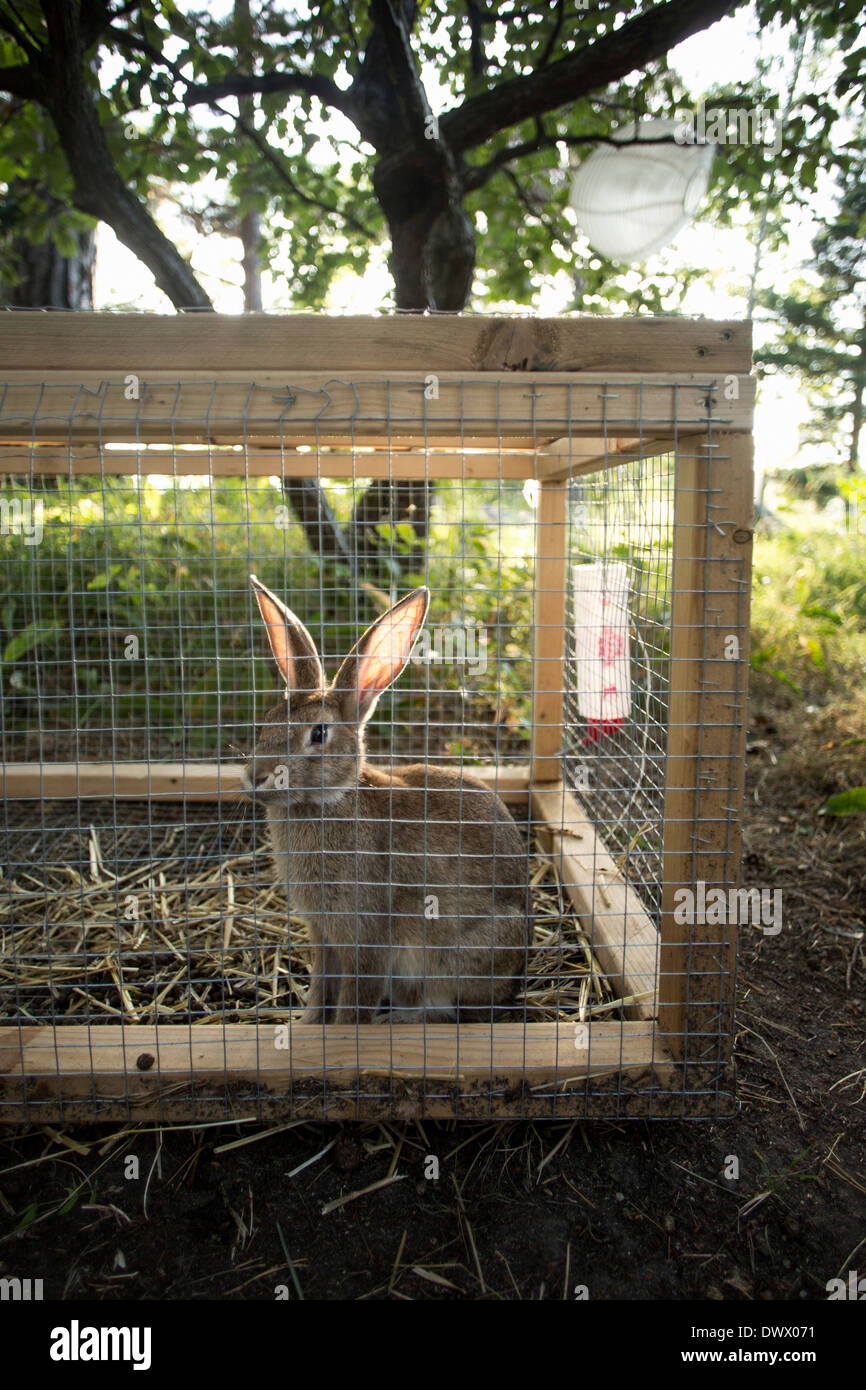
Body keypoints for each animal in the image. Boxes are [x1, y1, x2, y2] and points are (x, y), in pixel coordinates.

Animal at [240, 575, 530, 1023]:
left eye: (318, 734)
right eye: (266, 723)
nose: (255, 777)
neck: (330, 801)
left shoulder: (367, 938)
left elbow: (354, 999)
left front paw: (342, 1032)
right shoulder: (322, 935)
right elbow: (320, 986)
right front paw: (306, 1026)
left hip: (455, 956)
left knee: (449, 1011)